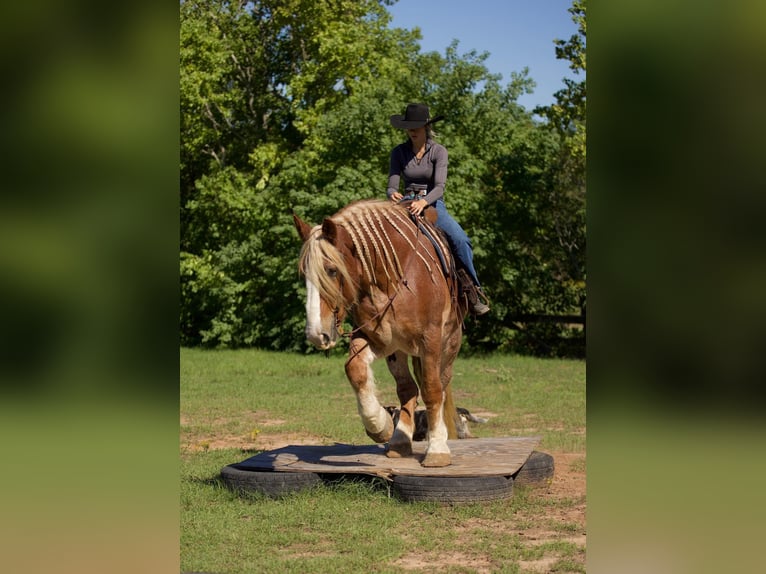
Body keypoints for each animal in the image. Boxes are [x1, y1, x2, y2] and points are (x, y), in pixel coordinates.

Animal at [294, 200, 468, 470]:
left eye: (332, 271)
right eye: (304, 274)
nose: (315, 334)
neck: (395, 280)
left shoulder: (430, 341)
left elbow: (432, 389)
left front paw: (437, 448)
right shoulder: (378, 340)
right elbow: (355, 370)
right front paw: (379, 425)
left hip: (448, 345)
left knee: (438, 385)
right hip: (399, 351)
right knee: (407, 390)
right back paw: (399, 441)